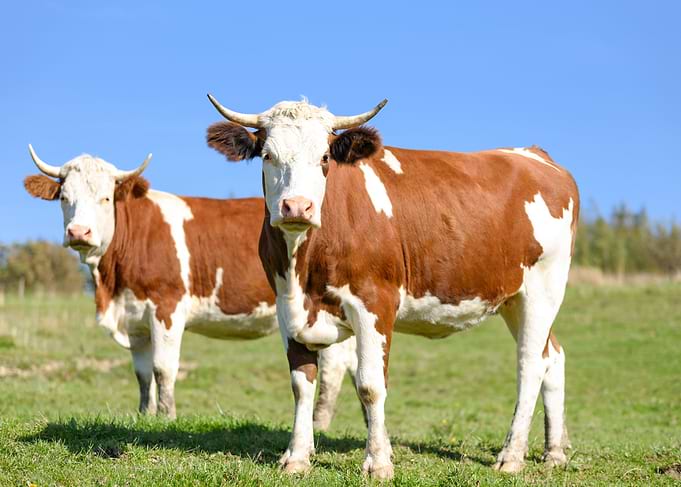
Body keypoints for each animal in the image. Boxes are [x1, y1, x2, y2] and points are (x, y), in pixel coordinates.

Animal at [23, 145, 358, 425]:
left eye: (105, 198)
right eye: (64, 198)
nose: (79, 232)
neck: (112, 284)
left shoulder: (166, 307)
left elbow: (163, 368)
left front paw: (166, 417)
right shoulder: (135, 319)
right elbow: (143, 374)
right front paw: (145, 414)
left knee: (334, 367)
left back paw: (319, 423)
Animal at [205, 96, 580, 479]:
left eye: (324, 158)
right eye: (268, 155)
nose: (297, 207)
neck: (304, 266)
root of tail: (534, 154)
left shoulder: (375, 301)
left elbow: (370, 385)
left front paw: (378, 462)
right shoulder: (286, 306)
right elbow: (301, 383)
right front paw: (297, 457)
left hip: (543, 288)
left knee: (530, 365)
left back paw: (512, 455)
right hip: (512, 300)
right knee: (553, 356)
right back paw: (554, 451)